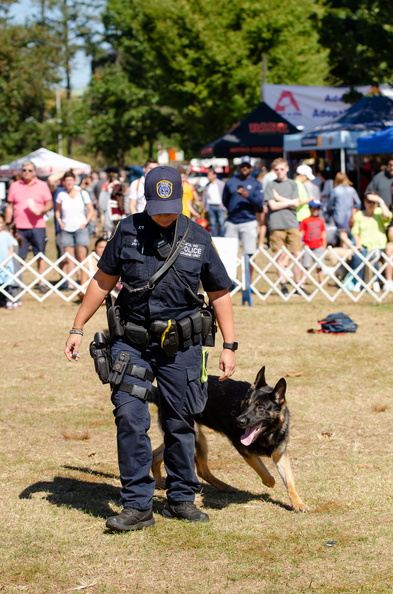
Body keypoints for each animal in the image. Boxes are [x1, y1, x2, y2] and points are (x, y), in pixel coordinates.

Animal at [152, 364, 308, 512]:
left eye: (260, 408)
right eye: (245, 404)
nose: (239, 421)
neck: (266, 434)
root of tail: (160, 394)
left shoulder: (280, 455)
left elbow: (290, 483)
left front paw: (298, 504)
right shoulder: (246, 453)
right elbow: (267, 475)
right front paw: (270, 483)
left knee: (156, 455)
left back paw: (159, 482)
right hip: (196, 439)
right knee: (202, 470)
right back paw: (225, 487)